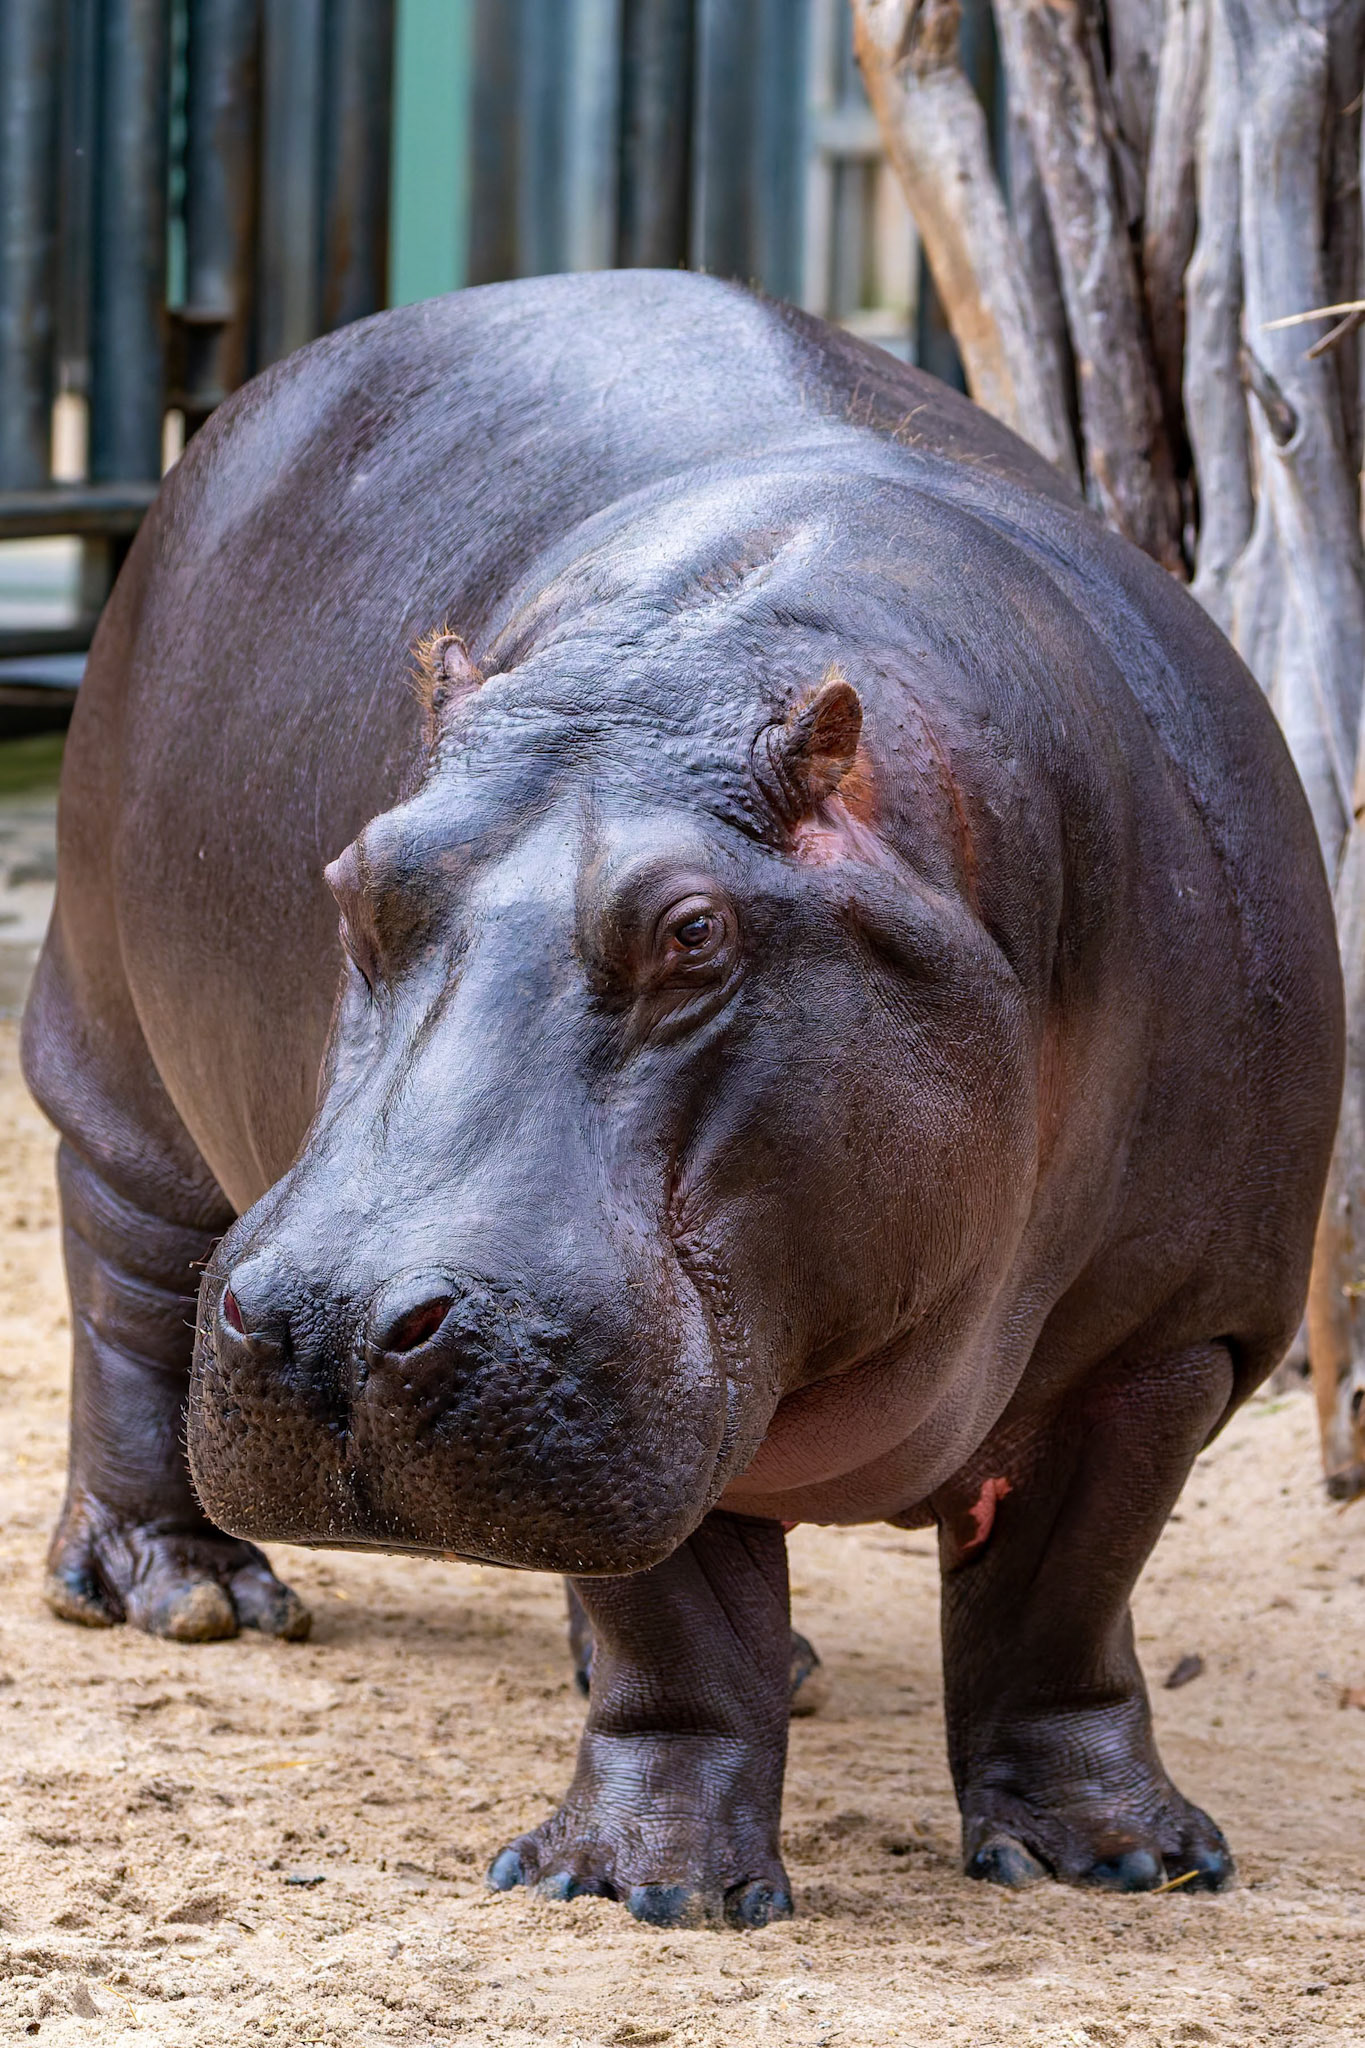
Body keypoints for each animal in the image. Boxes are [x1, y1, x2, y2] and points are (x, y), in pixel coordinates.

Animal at [22, 270, 1342, 1929]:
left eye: (696, 930)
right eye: (355, 880)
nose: (329, 1322)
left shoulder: (1171, 1335)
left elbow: (1066, 1590)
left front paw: (1126, 1863)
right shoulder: (632, 1359)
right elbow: (674, 1627)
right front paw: (636, 1888)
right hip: (116, 1071)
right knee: (128, 1291)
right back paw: (193, 1595)